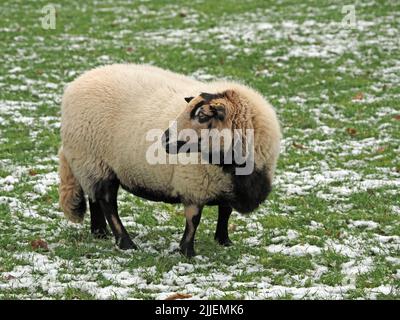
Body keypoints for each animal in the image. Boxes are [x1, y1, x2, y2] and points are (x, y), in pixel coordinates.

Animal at [59, 63, 282, 256]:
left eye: (202, 116)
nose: (163, 138)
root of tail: (78, 81)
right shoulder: (194, 186)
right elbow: (194, 219)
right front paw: (187, 251)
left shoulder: (225, 184)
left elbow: (225, 211)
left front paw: (224, 241)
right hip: (93, 159)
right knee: (107, 202)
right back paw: (125, 243)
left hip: (91, 163)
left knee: (94, 197)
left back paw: (100, 233)